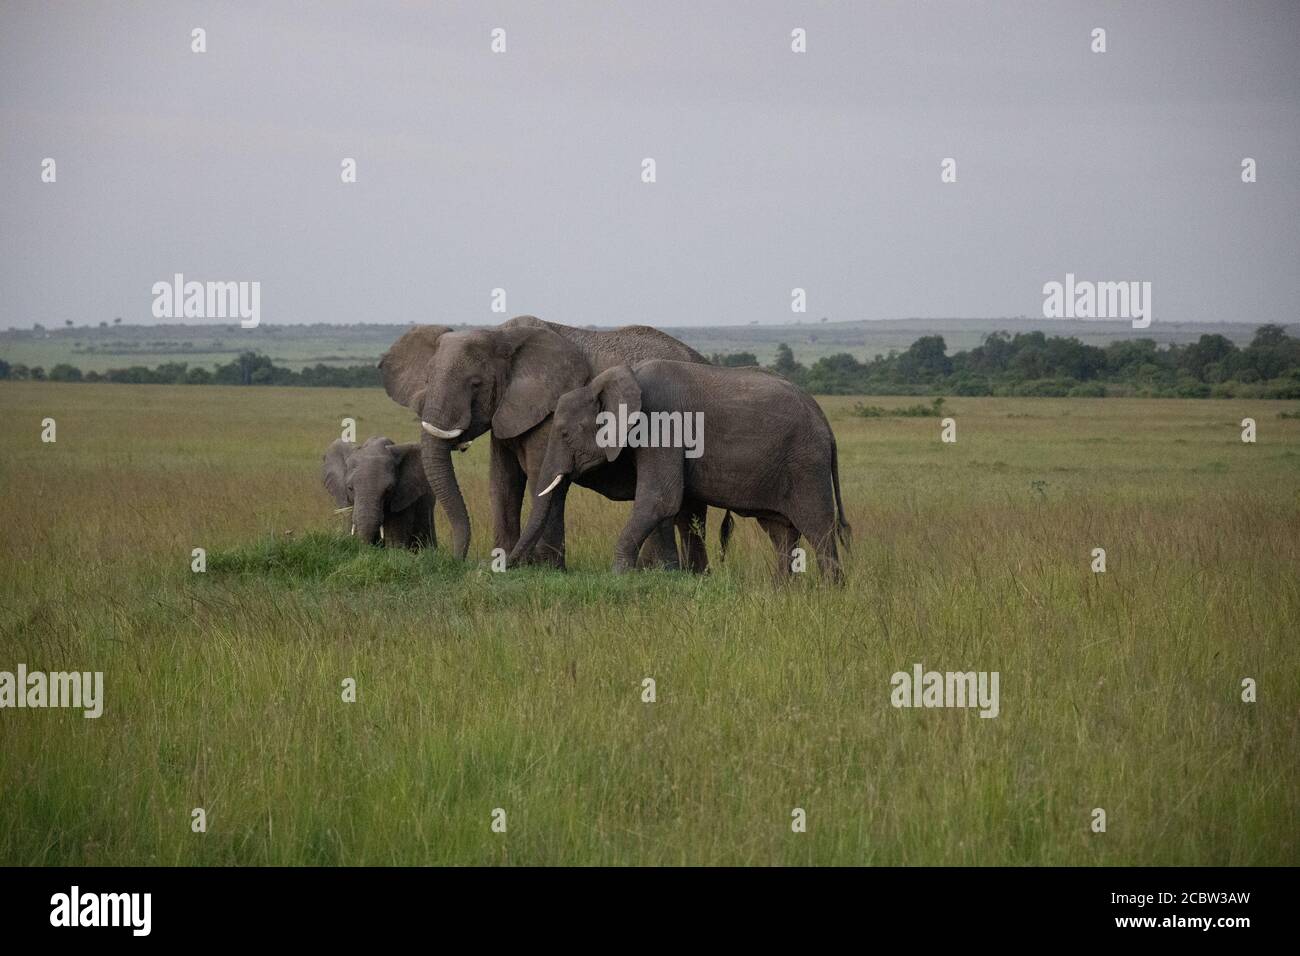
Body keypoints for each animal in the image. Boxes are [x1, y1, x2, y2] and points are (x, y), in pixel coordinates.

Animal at [378, 315, 716, 571]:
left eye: (475, 384)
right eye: (427, 379)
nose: (456, 560)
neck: (501, 335)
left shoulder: (551, 409)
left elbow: (543, 479)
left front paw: (545, 569)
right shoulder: (508, 410)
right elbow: (502, 483)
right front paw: (502, 561)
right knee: (688, 510)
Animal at [508, 360, 851, 584]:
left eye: (565, 434)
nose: (506, 566)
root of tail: (826, 423)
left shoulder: (663, 424)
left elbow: (660, 499)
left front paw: (619, 576)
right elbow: (663, 503)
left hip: (807, 463)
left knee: (818, 529)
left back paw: (829, 592)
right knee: (780, 532)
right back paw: (782, 591)